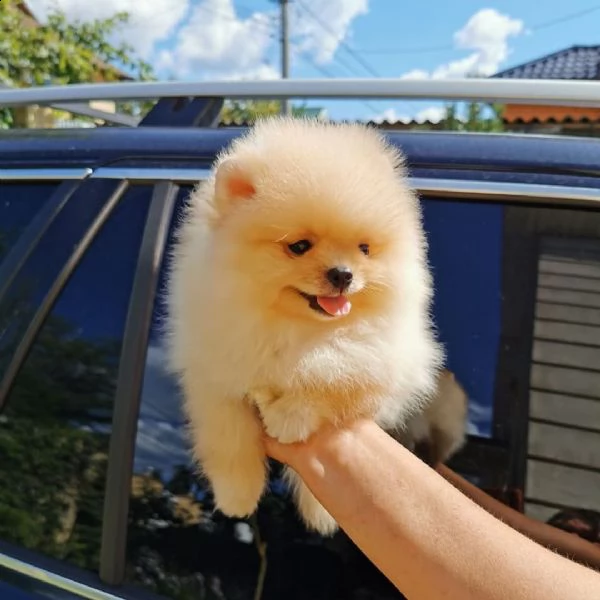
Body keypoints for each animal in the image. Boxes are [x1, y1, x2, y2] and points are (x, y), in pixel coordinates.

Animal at [166, 117, 442, 536]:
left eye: (364, 249)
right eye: (298, 246)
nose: (343, 274)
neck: (299, 329)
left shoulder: (384, 362)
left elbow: (335, 380)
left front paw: (290, 418)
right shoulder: (214, 374)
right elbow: (229, 439)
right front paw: (237, 497)